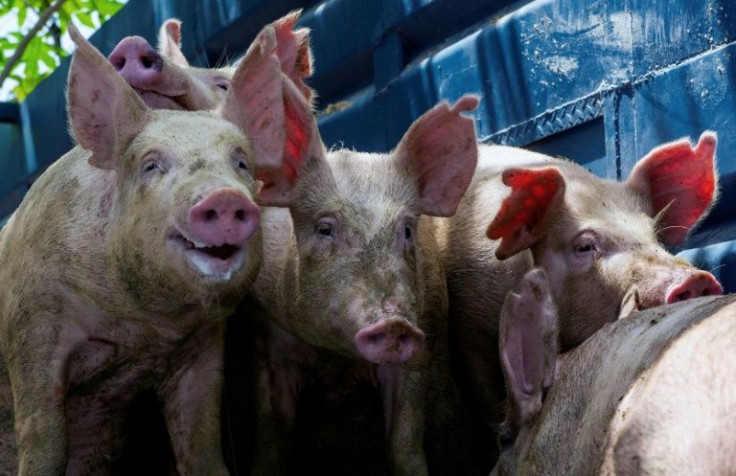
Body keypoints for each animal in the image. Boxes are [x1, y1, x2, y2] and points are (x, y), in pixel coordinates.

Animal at [0, 21, 304, 472]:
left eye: (241, 163)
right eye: (151, 165)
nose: (223, 197)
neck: (143, 321)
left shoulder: (202, 344)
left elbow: (201, 443)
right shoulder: (32, 324)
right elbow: (43, 441)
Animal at [242, 76, 480, 474]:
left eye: (407, 230)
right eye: (324, 228)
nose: (393, 323)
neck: (337, 355)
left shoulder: (422, 342)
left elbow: (404, 442)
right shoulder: (268, 337)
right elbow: (271, 443)